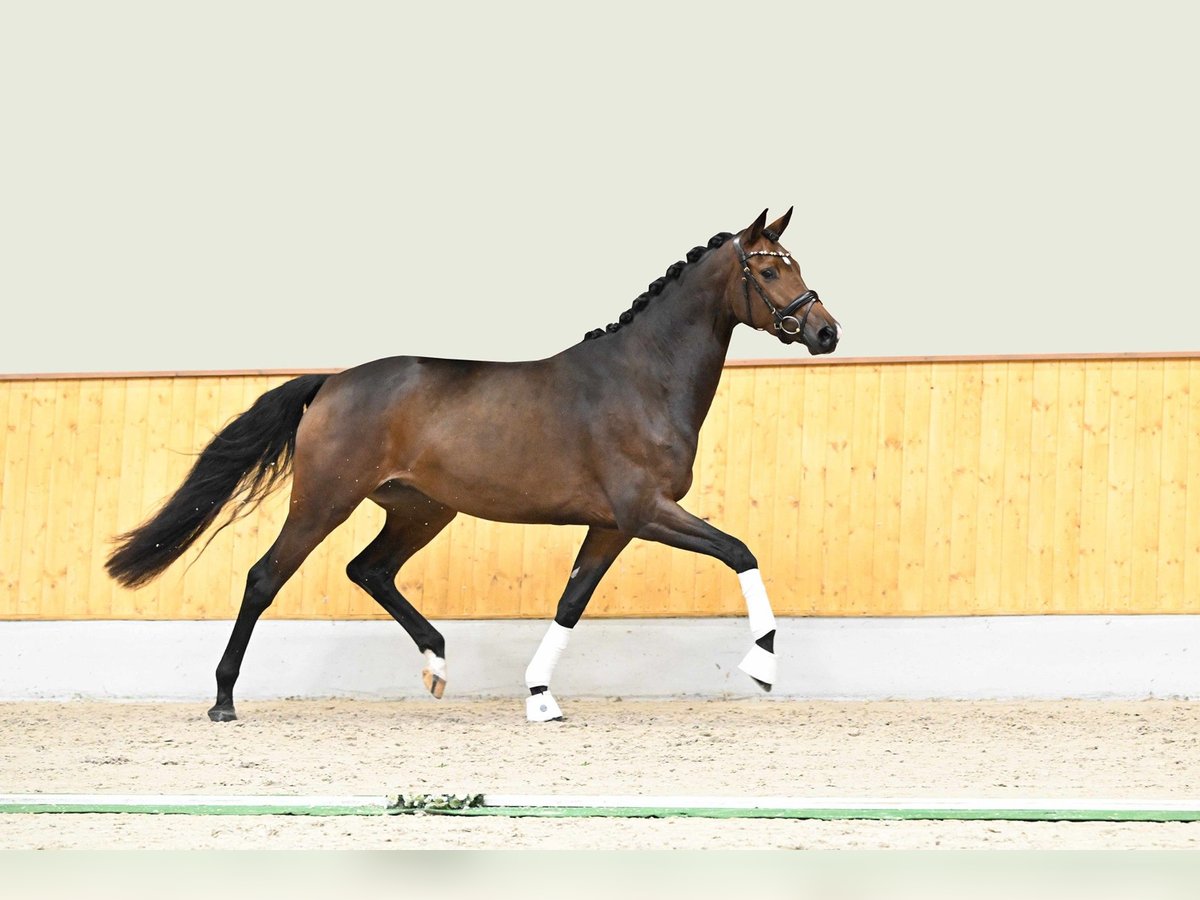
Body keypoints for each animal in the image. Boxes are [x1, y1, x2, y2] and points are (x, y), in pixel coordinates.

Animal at [106, 208, 841, 722]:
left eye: (796, 264)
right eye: (769, 271)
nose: (826, 332)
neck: (643, 379)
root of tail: (331, 383)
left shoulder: (612, 525)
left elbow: (571, 601)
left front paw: (541, 696)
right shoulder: (646, 511)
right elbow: (740, 551)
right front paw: (763, 664)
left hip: (422, 510)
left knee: (368, 570)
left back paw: (436, 663)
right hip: (325, 501)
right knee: (265, 578)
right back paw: (224, 700)